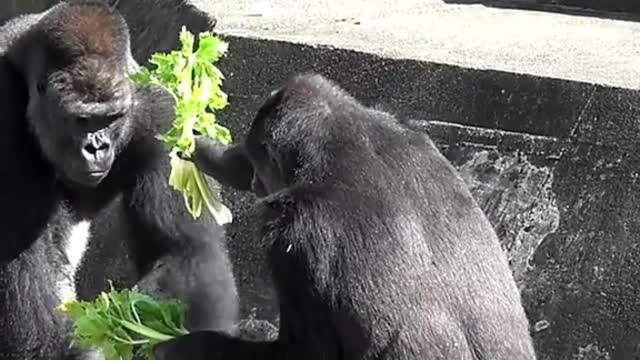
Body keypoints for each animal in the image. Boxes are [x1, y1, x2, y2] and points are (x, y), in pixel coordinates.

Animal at [154, 74, 536, 360]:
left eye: (264, 175)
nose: (255, 183)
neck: (342, 141)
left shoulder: (295, 237)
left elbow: (305, 353)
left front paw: (187, 346)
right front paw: (190, 139)